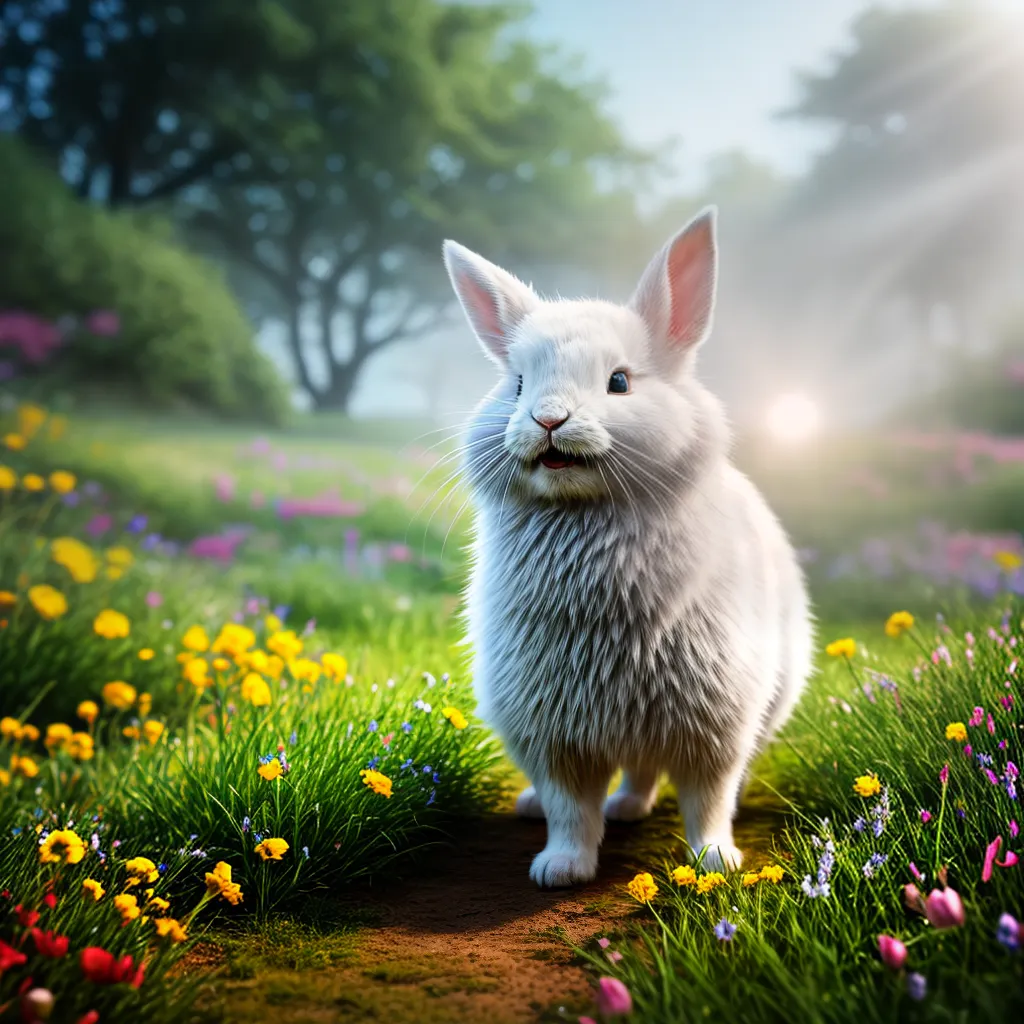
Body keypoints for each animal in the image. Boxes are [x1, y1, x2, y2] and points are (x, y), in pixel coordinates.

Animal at [441, 207, 814, 888]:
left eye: (618, 381)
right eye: (517, 384)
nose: (548, 419)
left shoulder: (714, 727)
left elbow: (707, 798)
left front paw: (715, 861)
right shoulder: (552, 736)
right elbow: (569, 808)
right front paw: (560, 869)